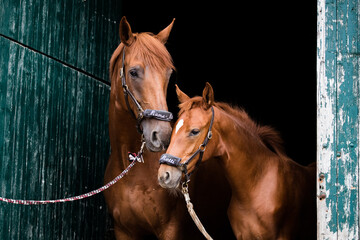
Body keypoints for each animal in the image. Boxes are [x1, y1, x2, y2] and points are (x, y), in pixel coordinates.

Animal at [104, 17, 235, 240]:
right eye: (133, 72)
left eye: (169, 73)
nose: (163, 136)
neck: (132, 168)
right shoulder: (123, 230)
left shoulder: (170, 230)